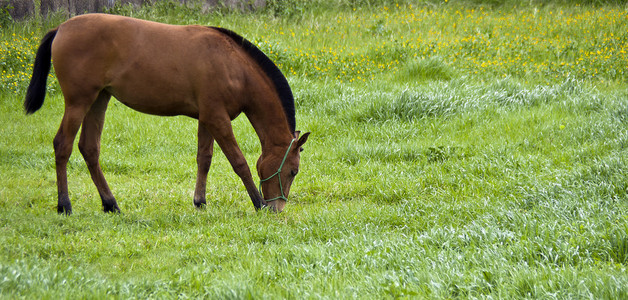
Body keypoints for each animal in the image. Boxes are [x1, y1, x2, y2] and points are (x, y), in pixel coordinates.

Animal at [24, 14, 310, 214]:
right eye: (293, 171)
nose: (278, 208)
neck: (233, 66)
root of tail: (61, 28)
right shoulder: (217, 119)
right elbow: (239, 162)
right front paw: (257, 202)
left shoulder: (207, 117)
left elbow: (204, 158)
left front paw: (200, 201)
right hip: (78, 102)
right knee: (63, 145)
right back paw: (65, 205)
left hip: (99, 99)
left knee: (89, 148)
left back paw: (110, 204)